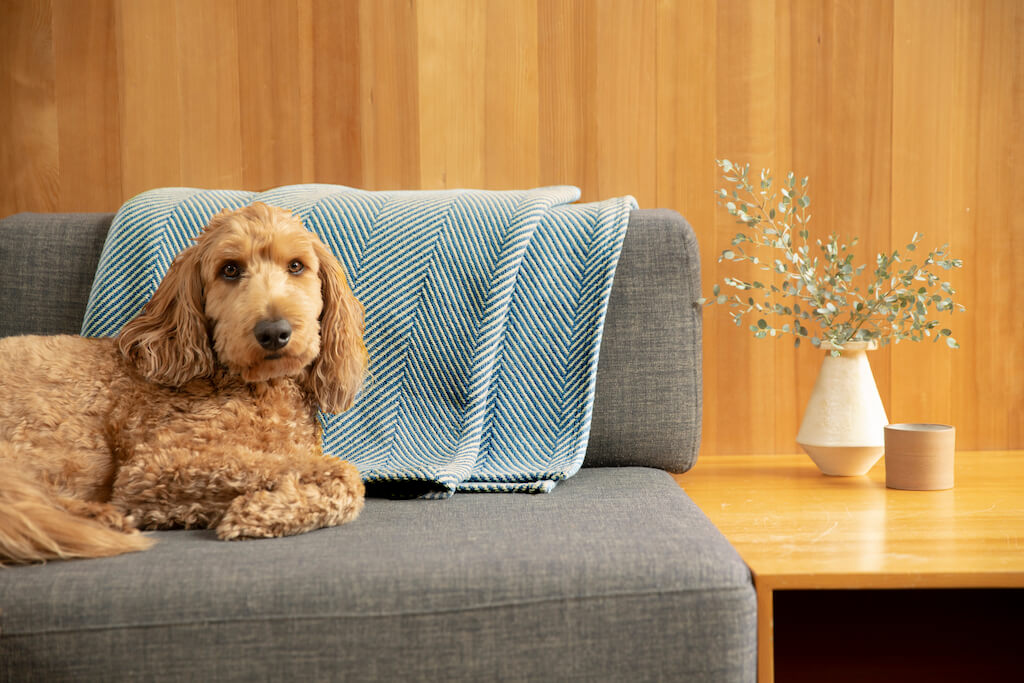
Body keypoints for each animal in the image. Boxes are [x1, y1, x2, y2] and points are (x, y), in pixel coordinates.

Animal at [0, 202, 368, 565]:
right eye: (229, 269)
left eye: (296, 266)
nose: (274, 332)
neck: (258, 388)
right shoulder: (159, 465)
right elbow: (336, 471)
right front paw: (261, 508)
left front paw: (265, 508)